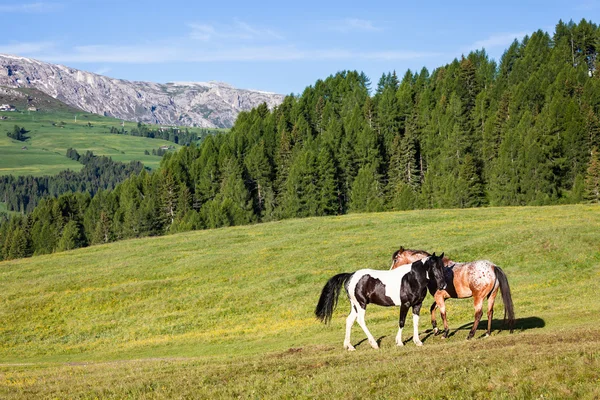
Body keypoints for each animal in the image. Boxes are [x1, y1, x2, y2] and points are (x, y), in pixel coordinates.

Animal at [314, 253, 446, 350]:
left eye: (443, 267)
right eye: (434, 267)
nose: (443, 285)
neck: (412, 278)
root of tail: (350, 276)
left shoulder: (417, 305)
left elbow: (415, 322)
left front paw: (417, 341)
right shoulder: (405, 304)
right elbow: (401, 322)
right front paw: (399, 342)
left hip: (354, 305)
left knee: (349, 321)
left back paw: (349, 346)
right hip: (361, 304)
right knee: (360, 320)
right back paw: (374, 344)